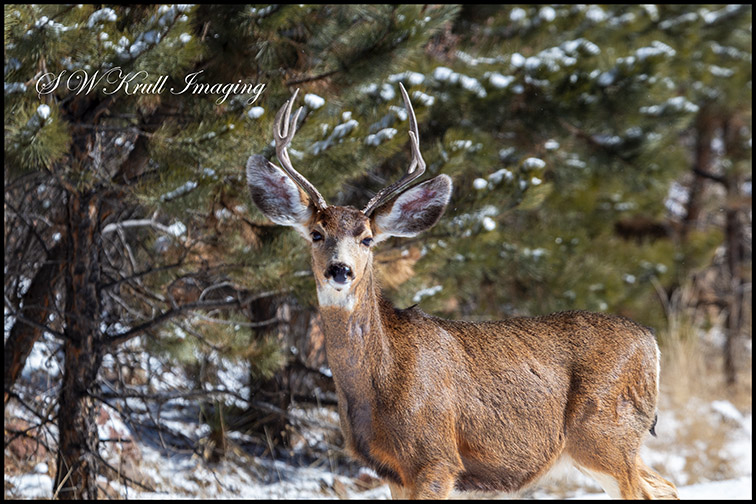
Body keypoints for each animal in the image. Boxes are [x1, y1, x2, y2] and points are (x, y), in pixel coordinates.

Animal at [244, 84, 679, 500]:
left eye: (367, 238)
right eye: (317, 234)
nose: (340, 269)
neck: (381, 380)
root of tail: (651, 341)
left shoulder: (436, 457)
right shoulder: (393, 472)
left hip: (605, 433)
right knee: (666, 486)